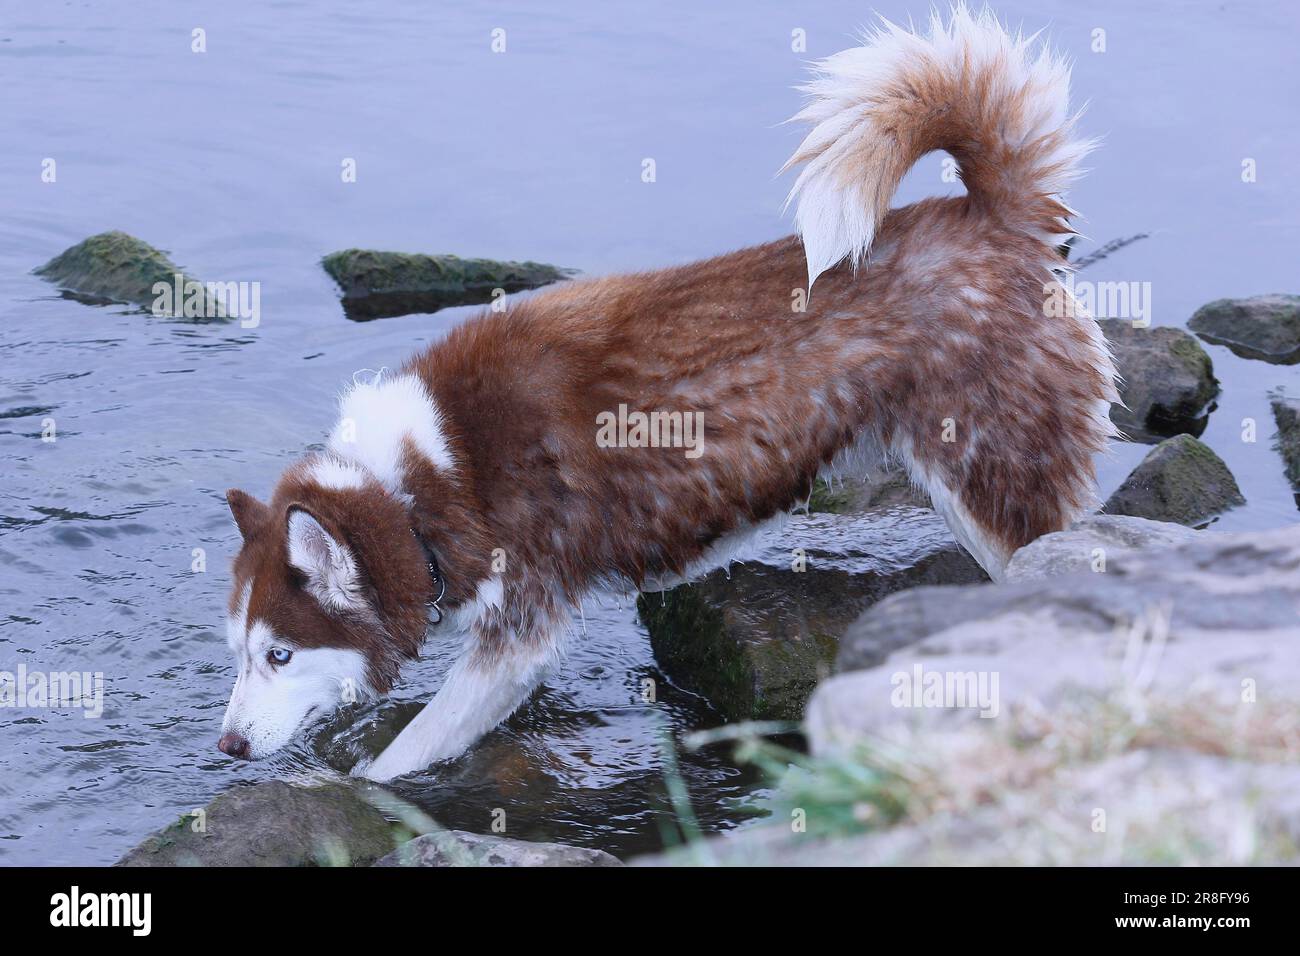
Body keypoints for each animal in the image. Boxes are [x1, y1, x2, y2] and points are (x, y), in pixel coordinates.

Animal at [218, 7, 1112, 780]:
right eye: (237, 650)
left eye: (280, 654)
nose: (225, 745)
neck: (431, 470)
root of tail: (998, 215)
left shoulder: (521, 632)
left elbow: (411, 750)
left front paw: (364, 787)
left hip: (994, 491)